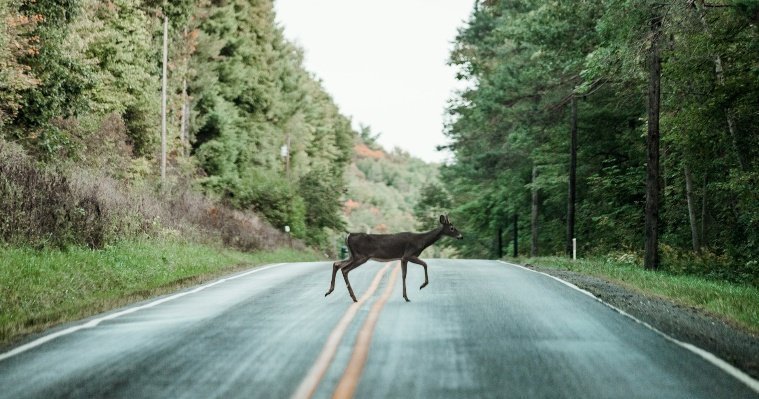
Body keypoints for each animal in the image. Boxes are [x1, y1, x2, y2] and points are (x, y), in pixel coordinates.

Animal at [326, 216, 464, 304]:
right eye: (452, 227)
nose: (461, 236)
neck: (421, 241)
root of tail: (348, 236)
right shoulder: (409, 254)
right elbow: (424, 264)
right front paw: (421, 286)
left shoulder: (403, 258)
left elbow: (404, 275)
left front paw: (405, 296)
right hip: (361, 256)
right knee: (344, 269)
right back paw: (353, 298)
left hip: (352, 255)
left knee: (337, 264)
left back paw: (330, 291)